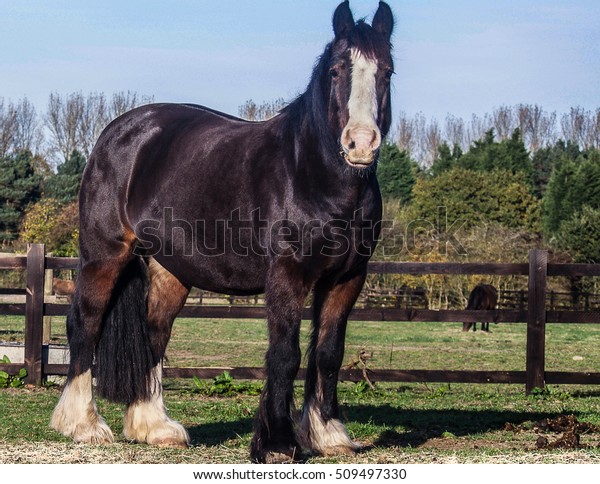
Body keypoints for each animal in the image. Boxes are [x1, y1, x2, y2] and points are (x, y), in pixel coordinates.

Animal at [51, 2, 396, 466]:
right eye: (337, 70)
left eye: (387, 72)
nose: (361, 144)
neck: (311, 173)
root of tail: (118, 132)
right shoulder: (287, 276)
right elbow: (285, 354)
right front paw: (277, 443)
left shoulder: (347, 279)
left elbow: (328, 353)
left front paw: (328, 434)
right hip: (104, 255)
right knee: (85, 324)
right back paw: (84, 425)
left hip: (169, 270)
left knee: (154, 332)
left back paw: (155, 427)